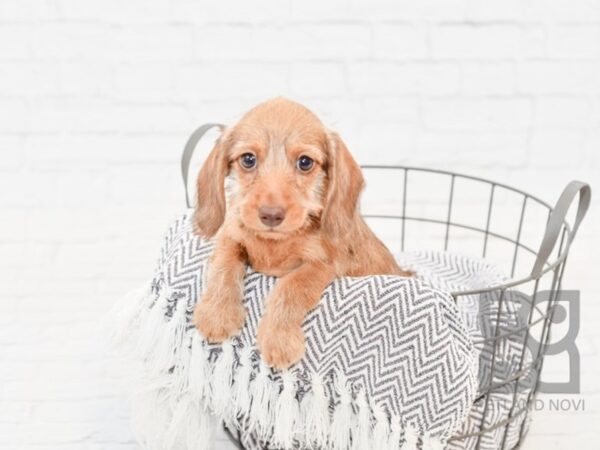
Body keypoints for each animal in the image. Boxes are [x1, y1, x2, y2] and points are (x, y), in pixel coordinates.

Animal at [192, 98, 412, 370]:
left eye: (305, 162)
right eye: (248, 159)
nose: (271, 215)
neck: (276, 242)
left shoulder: (324, 263)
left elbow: (291, 286)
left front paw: (279, 339)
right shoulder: (231, 235)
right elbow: (224, 262)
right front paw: (217, 313)